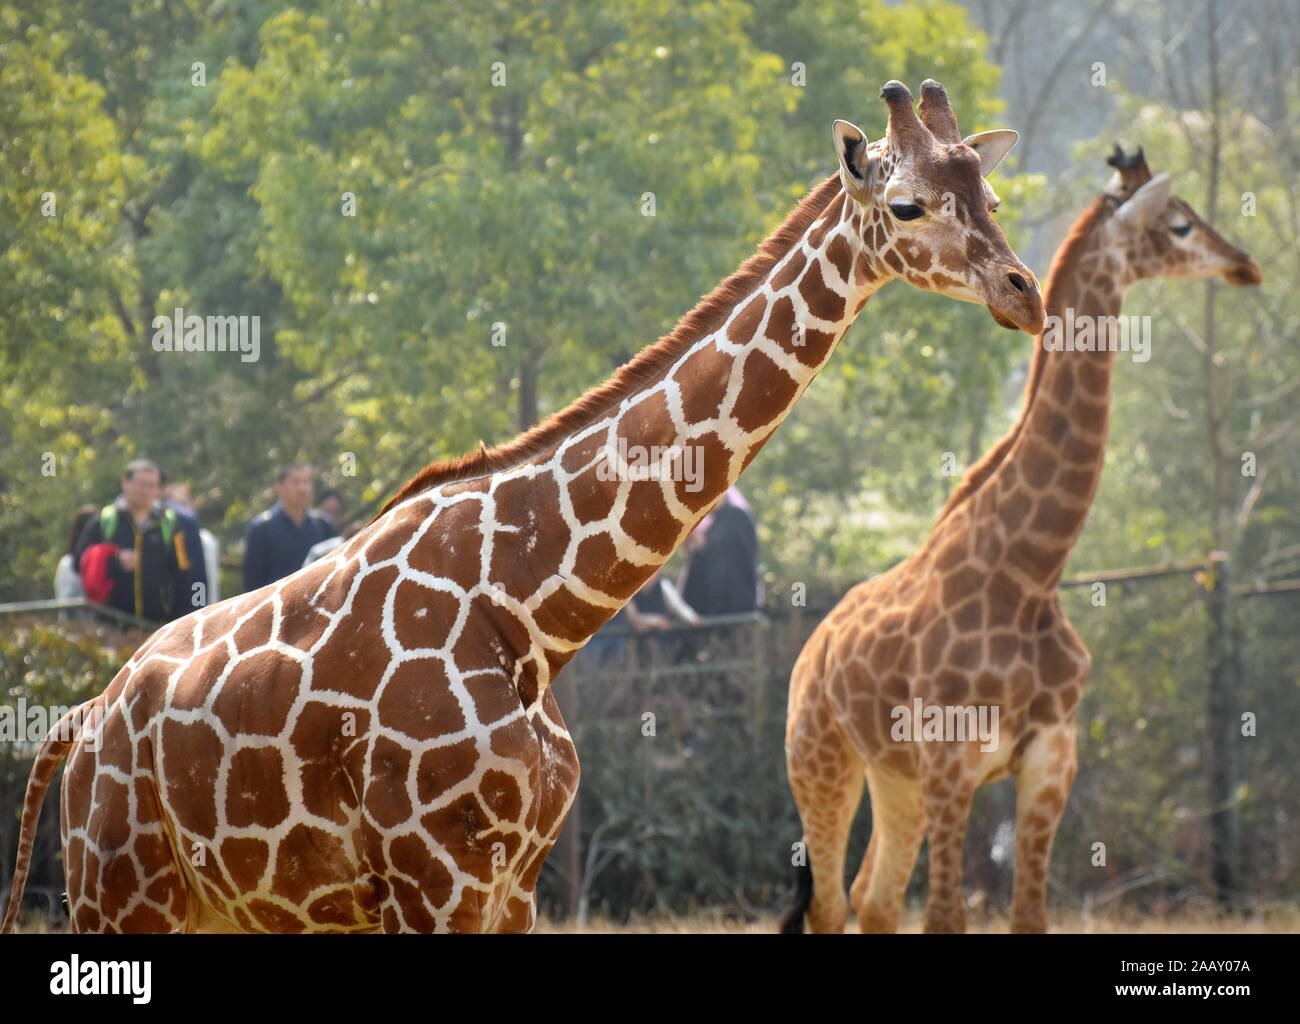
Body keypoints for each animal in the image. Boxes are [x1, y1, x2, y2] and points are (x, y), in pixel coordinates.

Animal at [2, 81, 1045, 935]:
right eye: (907, 204)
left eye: (990, 198)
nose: (1023, 294)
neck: (531, 614)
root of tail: (80, 722)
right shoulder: (436, 882)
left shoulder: (516, 886)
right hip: (124, 894)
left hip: (225, 910)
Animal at [780, 144, 1258, 935]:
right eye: (1180, 225)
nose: (1244, 264)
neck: (1033, 569)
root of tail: (811, 649)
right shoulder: (952, 763)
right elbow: (946, 918)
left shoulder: (1049, 763)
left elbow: (1028, 917)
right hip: (821, 761)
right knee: (829, 902)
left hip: (892, 778)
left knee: (873, 899)